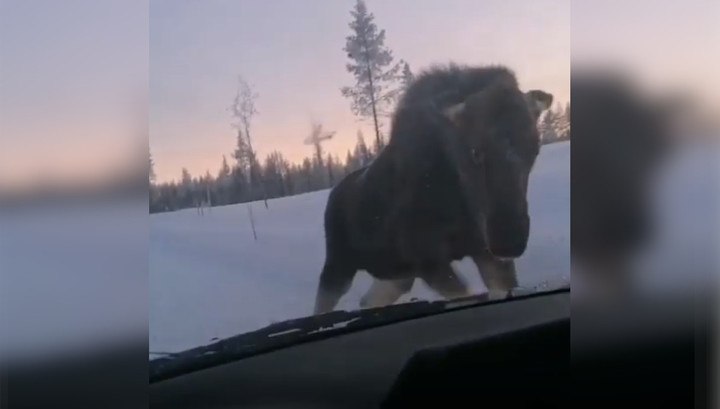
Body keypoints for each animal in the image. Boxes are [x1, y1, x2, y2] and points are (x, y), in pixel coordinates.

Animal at [312, 63, 556, 314]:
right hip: (339, 265)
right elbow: (464, 295)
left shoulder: (483, 252)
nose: (509, 241)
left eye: (535, 149)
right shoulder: (424, 257)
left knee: (369, 299)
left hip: (397, 274)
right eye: (475, 151)